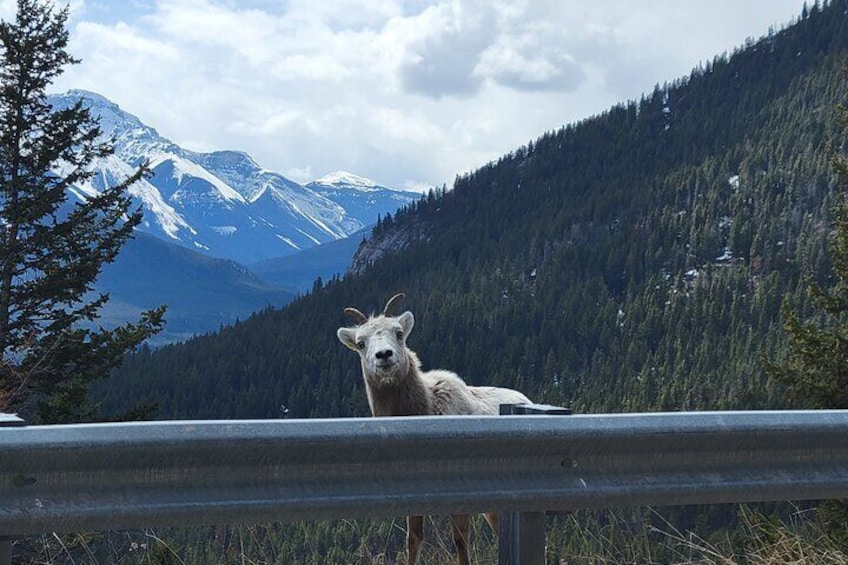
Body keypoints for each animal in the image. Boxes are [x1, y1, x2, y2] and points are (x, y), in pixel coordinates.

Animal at [336, 296, 528, 564]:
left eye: (399, 333)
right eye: (361, 343)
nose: (384, 355)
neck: (424, 409)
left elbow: (460, 541)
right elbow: (414, 538)